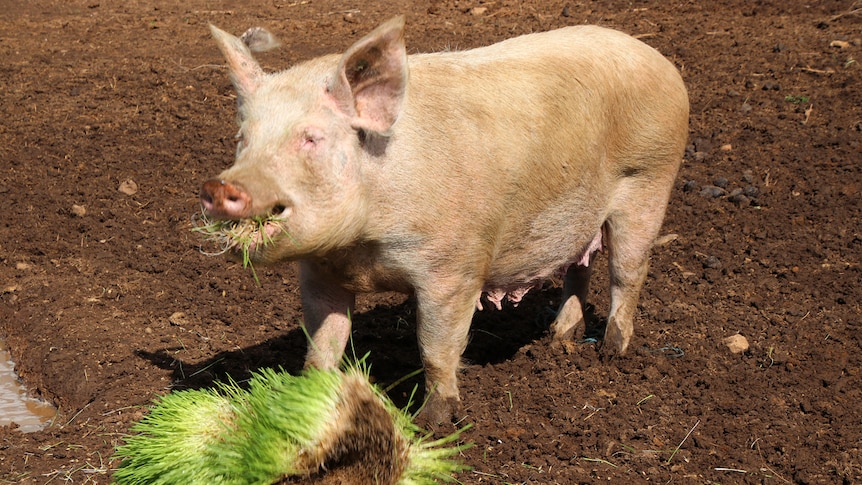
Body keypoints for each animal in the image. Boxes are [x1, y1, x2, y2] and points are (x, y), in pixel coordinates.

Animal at [201, 15, 688, 424]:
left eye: (311, 138)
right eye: (243, 138)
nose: (219, 187)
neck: (361, 249)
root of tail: (657, 59)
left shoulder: (453, 269)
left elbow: (436, 348)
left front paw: (430, 423)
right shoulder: (319, 272)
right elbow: (322, 345)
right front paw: (307, 401)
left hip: (650, 180)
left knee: (628, 272)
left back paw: (611, 353)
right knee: (578, 266)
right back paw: (558, 338)